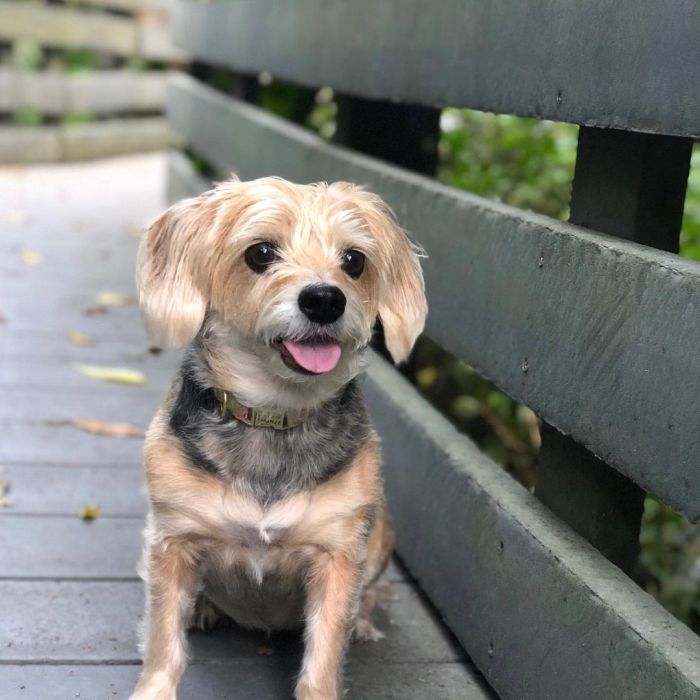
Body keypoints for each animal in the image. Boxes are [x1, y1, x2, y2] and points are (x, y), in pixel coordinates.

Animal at [129, 176, 430, 700]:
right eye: (261, 253)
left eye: (354, 261)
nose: (325, 299)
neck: (275, 415)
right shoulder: (172, 542)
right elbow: (164, 643)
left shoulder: (336, 557)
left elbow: (322, 661)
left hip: (379, 534)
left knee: (370, 592)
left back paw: (363, 619)